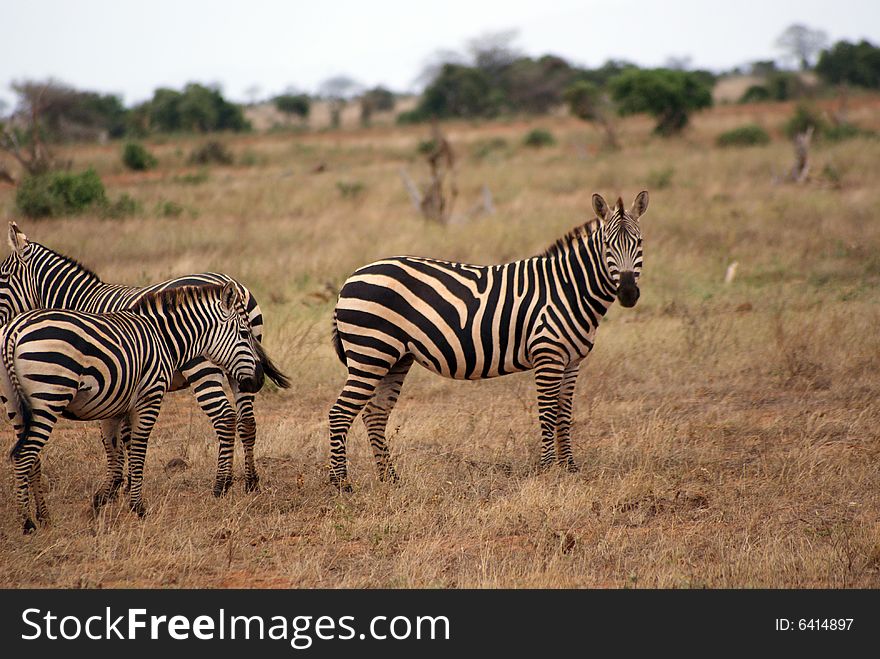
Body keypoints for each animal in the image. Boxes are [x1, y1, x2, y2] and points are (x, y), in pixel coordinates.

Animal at [0, 223, 292, 496]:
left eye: (1, 278)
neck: (82, 301)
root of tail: (235, 285)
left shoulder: (111, 380)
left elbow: (115, 438)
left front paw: (120, 485)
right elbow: (126, 434)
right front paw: (127, 483)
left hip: (203, 367)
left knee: (225, 417)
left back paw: (221, 485)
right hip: (241, 369)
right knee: (247, 421)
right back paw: (251, 482)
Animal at [0, 282, 278, 532]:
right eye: (244, 334)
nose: (259, 379)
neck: (163, 337)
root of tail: (14, 331)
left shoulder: (115, 405)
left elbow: (116, 447)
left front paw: (105, 499)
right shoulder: (149, 396)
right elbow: (137, 448)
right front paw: (137, 506)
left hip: (16, 405)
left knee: (30, 456)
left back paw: (43, 517)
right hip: (49, 396)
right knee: (25, 455)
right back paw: (27, 522)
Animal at [328, 191, 648, 490]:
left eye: (640, 242)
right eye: (607, 245)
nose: (628, 293)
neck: (568, 289)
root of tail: (351, 278)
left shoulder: (572, 361)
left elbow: (564, 415)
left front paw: (569, 467)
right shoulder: (547, 356)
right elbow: (547, 414)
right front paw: (547, 471)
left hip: (395, 358)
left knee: (375, 414)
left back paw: (390, 479)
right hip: (370, 352)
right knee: (340, 413)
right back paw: (341, 484)